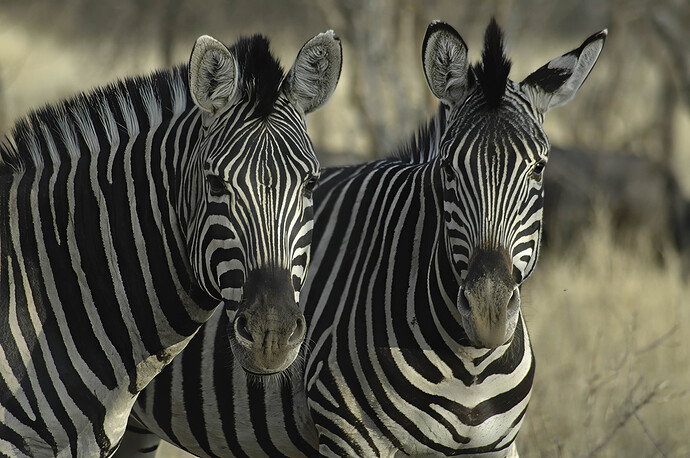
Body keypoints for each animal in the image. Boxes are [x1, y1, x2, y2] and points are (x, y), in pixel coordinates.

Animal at [114, 19, 606, 458]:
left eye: (539, 169)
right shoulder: (350, 436)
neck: (470, 364)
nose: (488, 312)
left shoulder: (496, 446)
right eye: (448, 168)